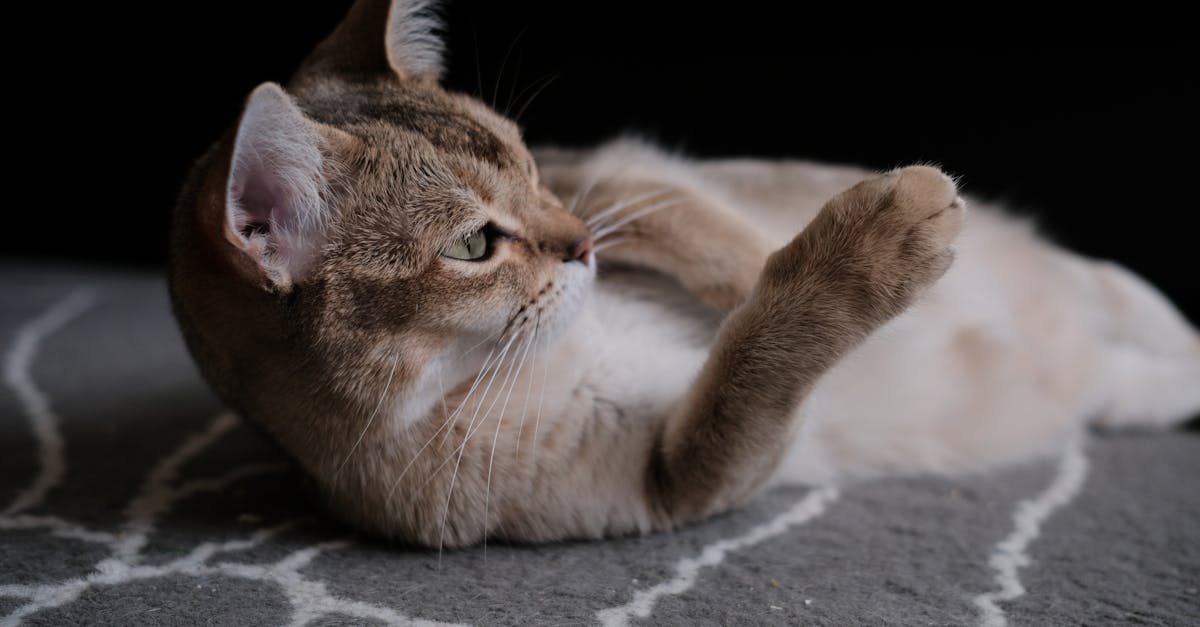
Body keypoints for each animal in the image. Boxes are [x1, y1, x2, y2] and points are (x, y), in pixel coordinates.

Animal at [166, 0, 1200, 547]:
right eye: (471, 246)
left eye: (529, 164)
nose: (580, 246)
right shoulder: (676, 478)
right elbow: (758, 357)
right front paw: (870, 243)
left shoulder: (603, 170)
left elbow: (678, 210)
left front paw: (750, 260)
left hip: (1104, 283)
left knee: (1134, 300)